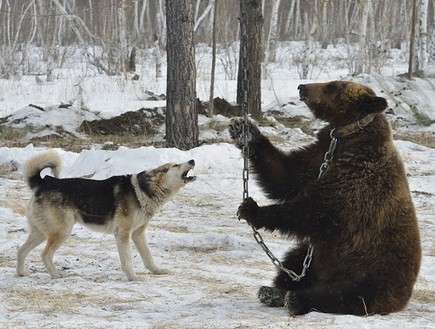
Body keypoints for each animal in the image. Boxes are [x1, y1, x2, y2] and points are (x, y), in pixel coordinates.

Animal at [15, 151, 196, 280]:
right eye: (176, 165)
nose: (193, 160)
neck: (143, 191)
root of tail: (43, 182)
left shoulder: (138, 234)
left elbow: (148, 257)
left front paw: (157, 271)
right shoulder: (123, 234)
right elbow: (127, 261)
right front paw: (133, 278)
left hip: (41, 233)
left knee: (21, 250)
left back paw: (21, 272)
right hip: (62, 232)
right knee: (45, 255)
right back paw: (56, 274)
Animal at [230, 80, 424, 316]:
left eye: (333, 86)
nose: (302, 87)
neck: (345, 136)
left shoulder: (358, 175)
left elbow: (317, 210)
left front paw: (252, 209)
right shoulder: (318, 157)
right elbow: (286, 174)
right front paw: (244, 130)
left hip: (376, 269)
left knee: (349, 293)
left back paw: (296, 299)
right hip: (316, 257)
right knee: (296, 261)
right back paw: (274, 291)